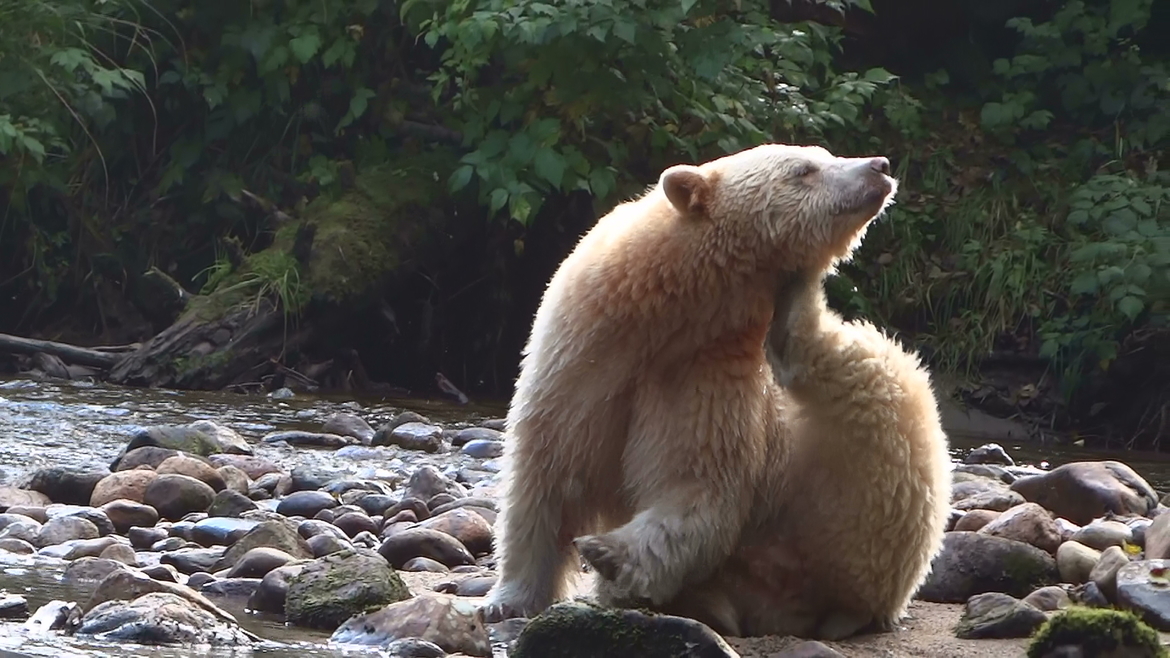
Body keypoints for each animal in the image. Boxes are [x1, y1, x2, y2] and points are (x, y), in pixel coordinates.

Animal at [479, 142, 919, 627]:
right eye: (805, 169)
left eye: (822, 155)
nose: (879, 166)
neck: (668, 308)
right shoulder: (583, 357)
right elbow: (546, 472)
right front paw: (508, 599)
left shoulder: (704, 370)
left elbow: (695, 484)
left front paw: (607, 551)